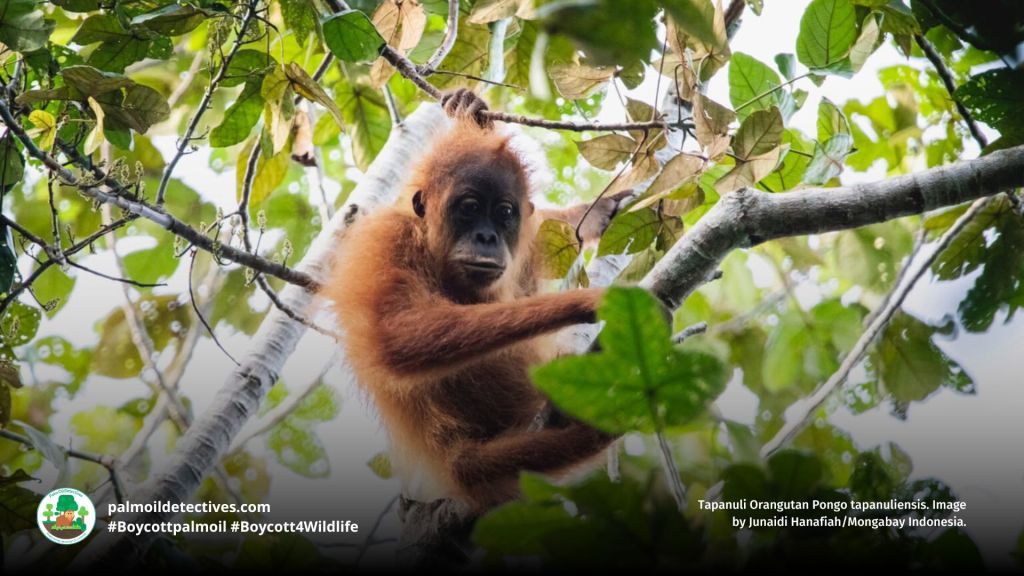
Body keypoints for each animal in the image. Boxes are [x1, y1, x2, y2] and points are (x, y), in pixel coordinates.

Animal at [323, 89, 624, 514]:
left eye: (504, 213)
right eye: (469, 209)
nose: (487, 237)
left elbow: (537, 242)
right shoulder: (386, 240)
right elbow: (395, 334)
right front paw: (586, 301)